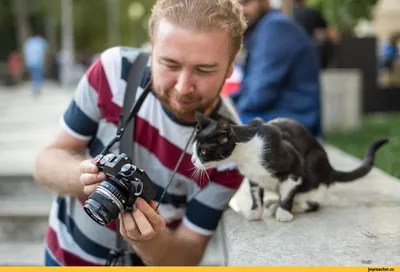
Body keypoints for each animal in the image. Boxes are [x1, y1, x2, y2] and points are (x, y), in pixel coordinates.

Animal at [192, 111, 390, 222]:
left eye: (202, 151)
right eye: (194, 149)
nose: (193, 160)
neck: (245, 155)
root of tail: (330, 169)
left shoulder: (294, 164)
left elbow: (288, 193)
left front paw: (283, 212)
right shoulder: (253, 176)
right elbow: (255, 194)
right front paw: (256, 211)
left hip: (314, 163)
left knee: (311, 202)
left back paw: (284, 206)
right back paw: (272, 203)